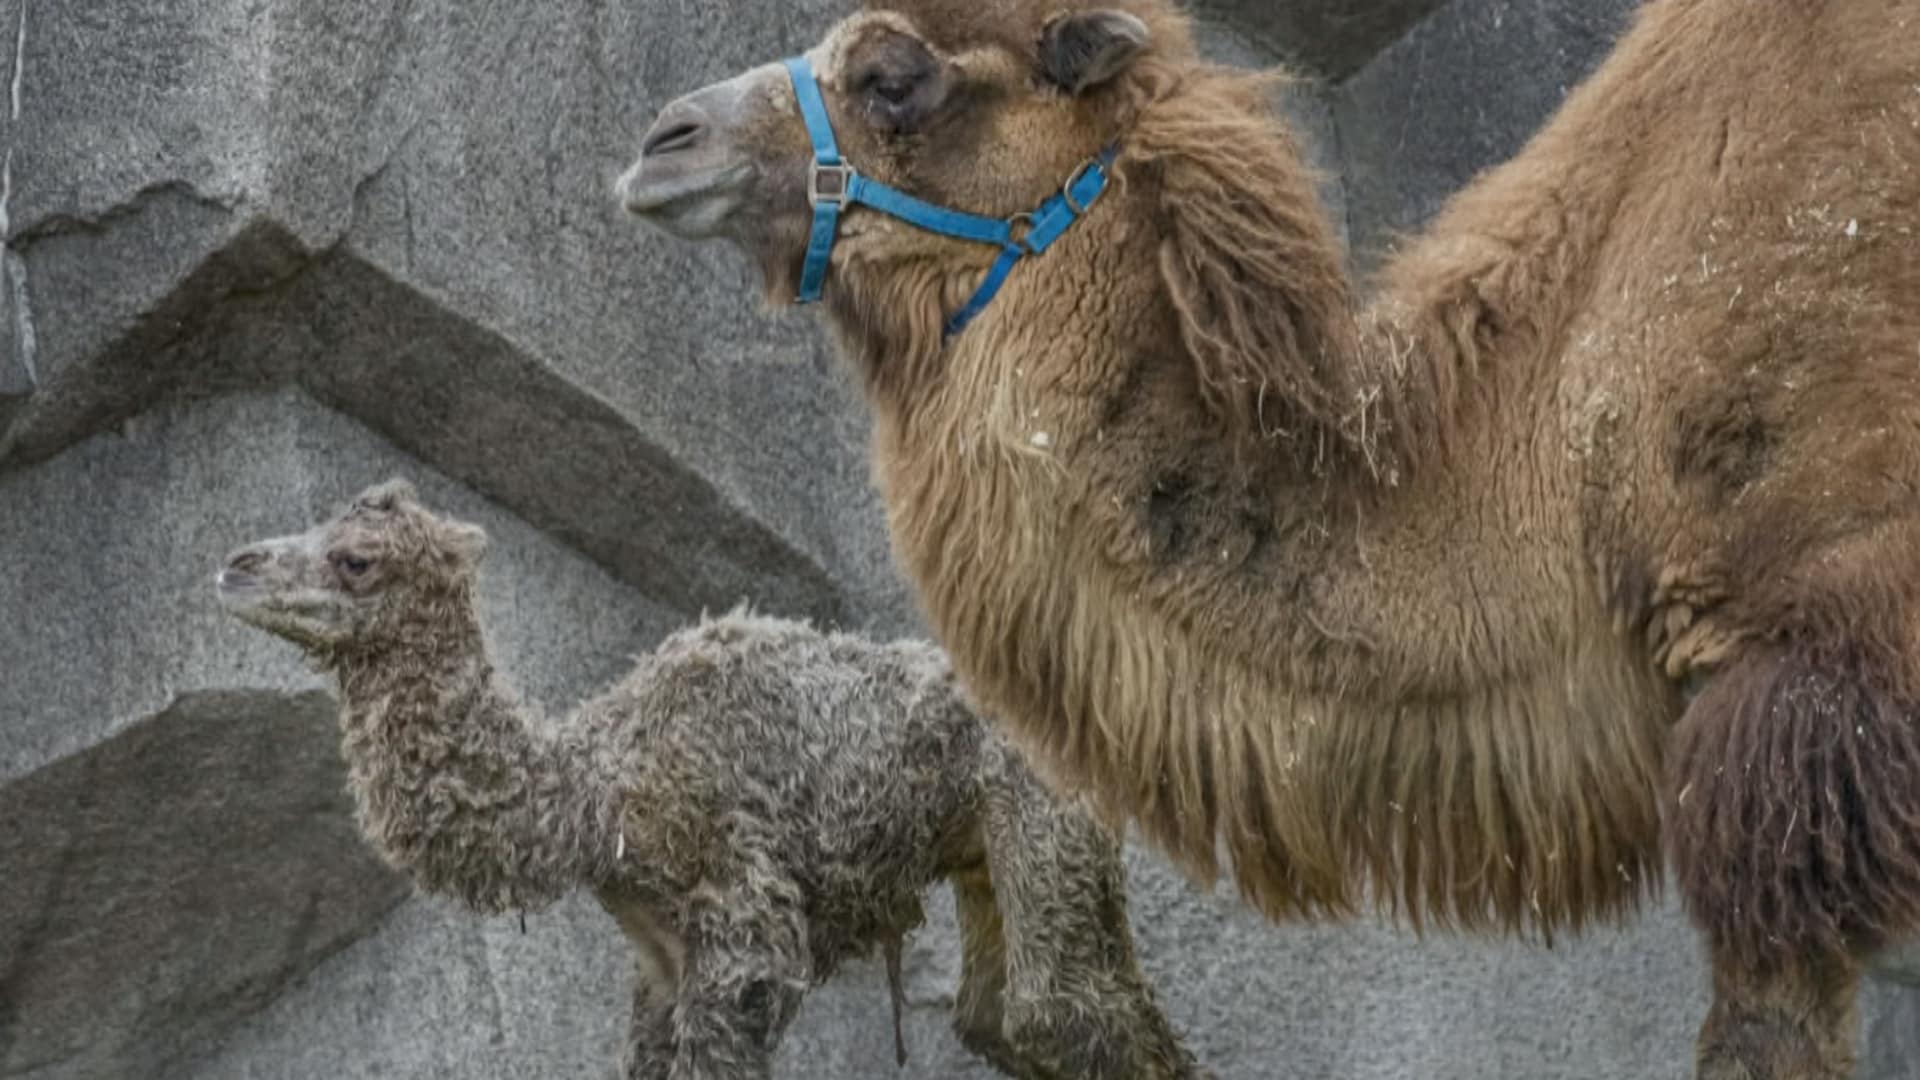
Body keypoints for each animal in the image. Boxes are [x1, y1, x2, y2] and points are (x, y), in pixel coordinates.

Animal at [210, 478, 1198, 1076]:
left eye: (356, 559)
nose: (234, 565)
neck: (599, 798)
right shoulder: (658, 962)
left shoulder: (743, 928)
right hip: (981, 844)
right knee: (998, 1017)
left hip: (1043, 801)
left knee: (1059, 1009)